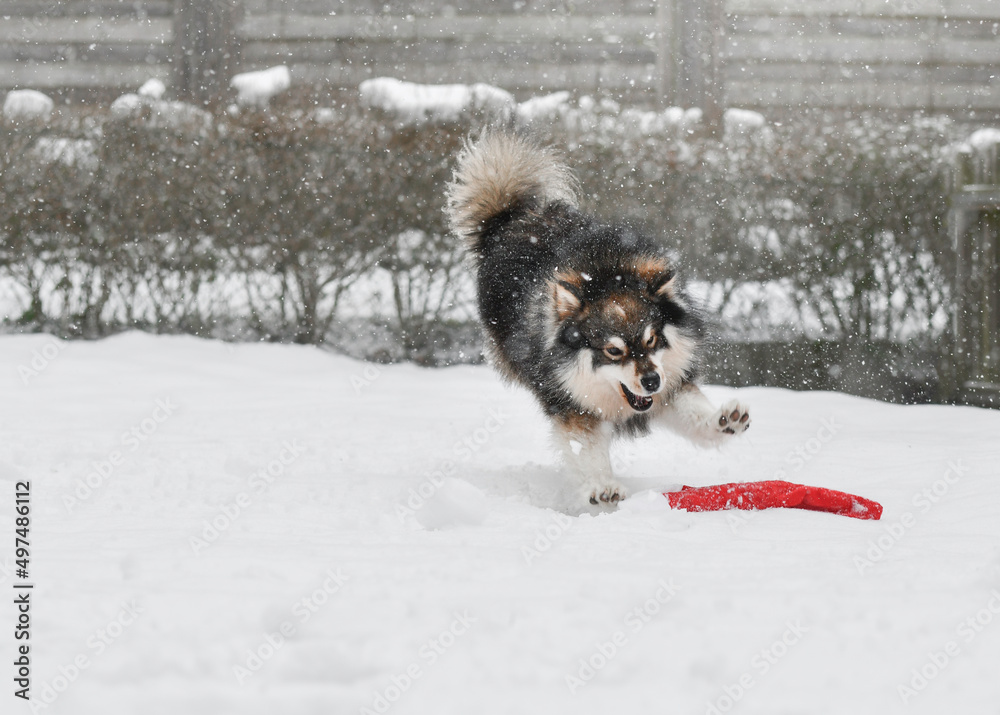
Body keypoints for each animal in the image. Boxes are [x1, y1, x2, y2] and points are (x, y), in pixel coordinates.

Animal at [448, 130, 752, 510]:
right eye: (612, 351)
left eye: (652, 340)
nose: (651, 381)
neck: (609, 275)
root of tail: (512, 216)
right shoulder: (570, 401)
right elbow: (586, 448)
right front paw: (600, 485)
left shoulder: (672, 383)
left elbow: (694, 412)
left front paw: (724, 420)